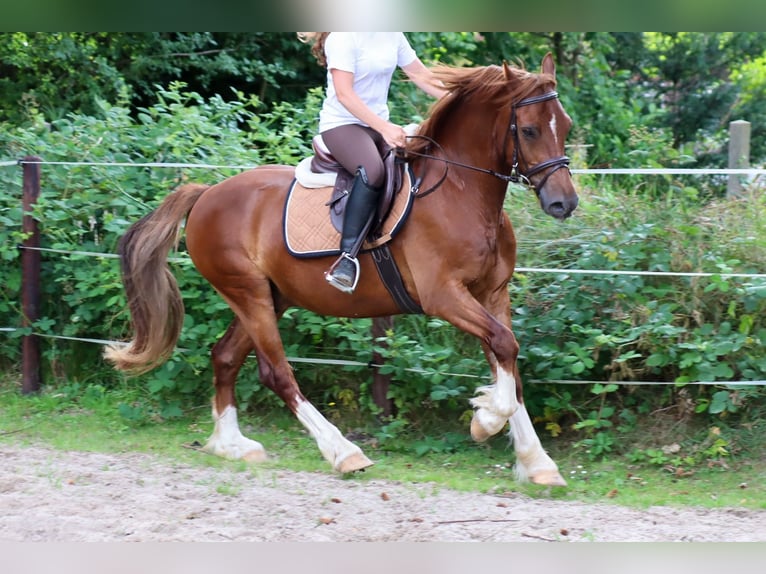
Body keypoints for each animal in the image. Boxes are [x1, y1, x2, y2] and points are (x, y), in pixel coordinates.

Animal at [104, 53, 578, 487]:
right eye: (530, 130)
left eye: (567, 126)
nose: (564, 203)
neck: (461, 193)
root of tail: (206, 194)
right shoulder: (444, 295)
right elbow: (504, 347)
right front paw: (486, 419)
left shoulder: (491, 294)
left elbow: (508, 359)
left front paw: (536, 461)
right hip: (248, 293)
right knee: (277, 372)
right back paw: (343, 452)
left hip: (270, 297)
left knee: (225, 356)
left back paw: (231, 444)